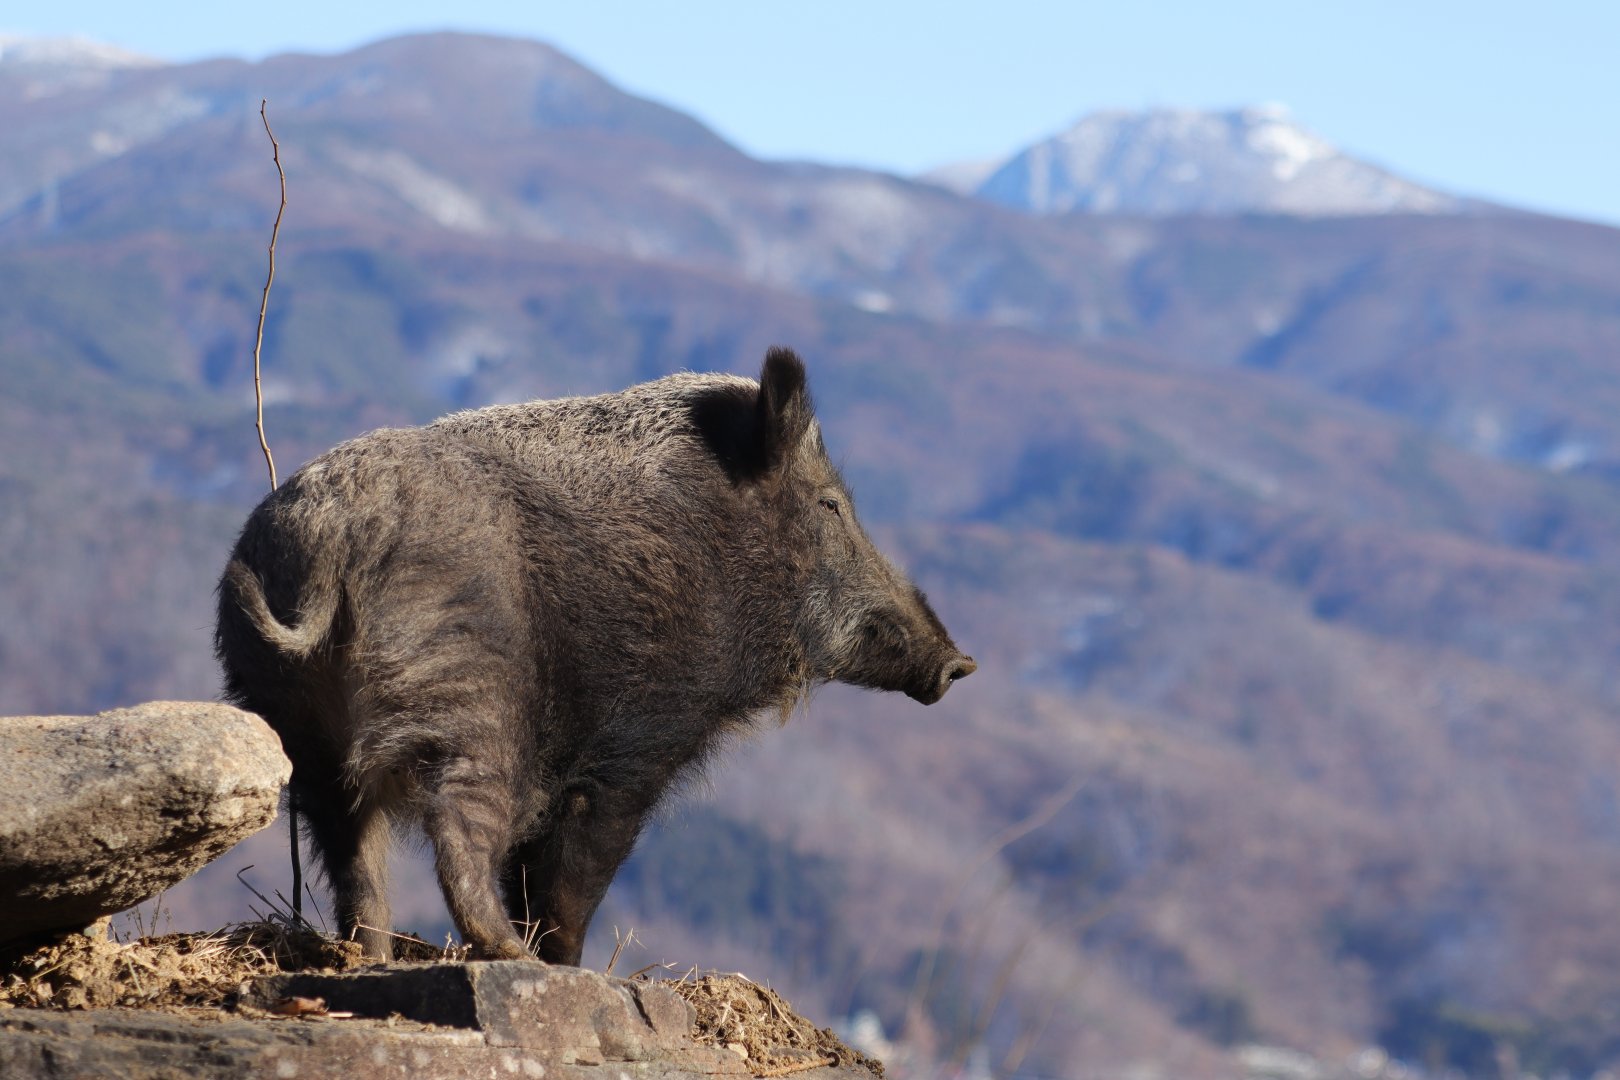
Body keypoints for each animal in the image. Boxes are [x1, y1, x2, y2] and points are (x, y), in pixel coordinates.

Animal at [215, 347, 975, 964]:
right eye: (830, 505)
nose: (959, 665)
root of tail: (332, 536)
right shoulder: (630, 748)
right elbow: (571, 878)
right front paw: (568, 965)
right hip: (472, 700)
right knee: (458, 829)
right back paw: (510, 954)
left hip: (293, 724)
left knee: (353, 854)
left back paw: (372, 955)